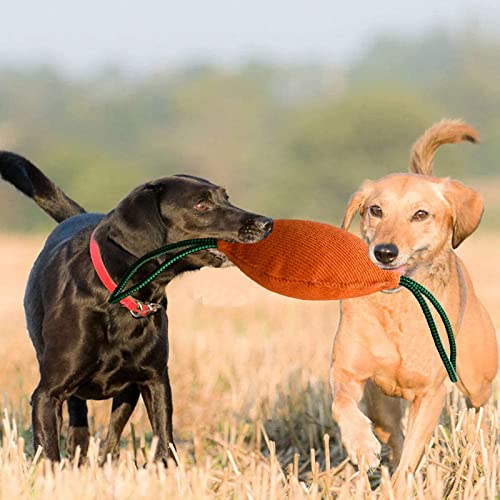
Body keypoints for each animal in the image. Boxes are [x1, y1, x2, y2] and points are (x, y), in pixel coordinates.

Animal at [0, 152, 274, 460]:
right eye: (201, 204)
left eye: (226, 197)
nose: (267, 223)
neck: (123, 299)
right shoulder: (47, 394)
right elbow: (48, 451)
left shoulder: (155, 381)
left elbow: (164, 443)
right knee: (79, 418)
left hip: (128, 391)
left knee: (110, 438)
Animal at [330, 120, 498, 488]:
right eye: (376, 210)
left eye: (420, 214)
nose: (384, 252)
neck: (399, 307)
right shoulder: (348, 370)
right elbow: (342, 404)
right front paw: (361, 446)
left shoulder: (430, 393)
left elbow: (412, 454)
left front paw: (398, 487)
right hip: (381, 405)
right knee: (391, 431)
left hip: (476, 378)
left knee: (478, 408)